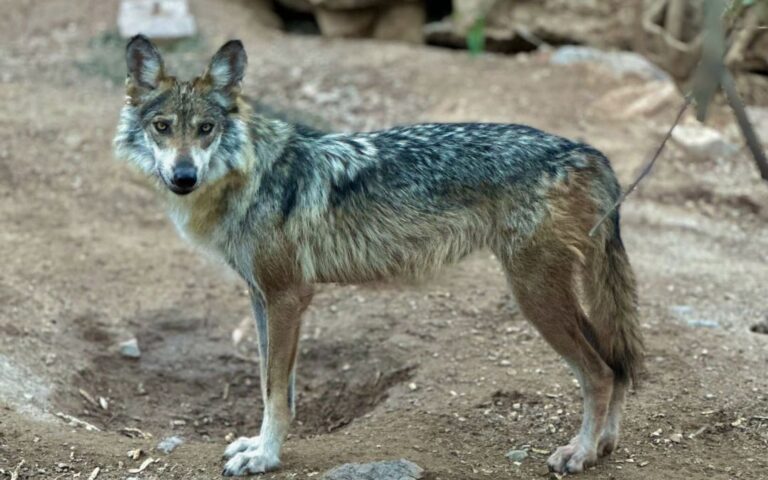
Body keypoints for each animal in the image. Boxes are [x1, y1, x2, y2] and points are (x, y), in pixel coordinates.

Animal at [113, 35, 644, 476]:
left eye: (206, 129)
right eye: (163, 127)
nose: (183, 176)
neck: (251, 176)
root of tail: (587, 152)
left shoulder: (287, 297)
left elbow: (275, 393)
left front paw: (264, 457)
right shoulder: (261, 298)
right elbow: (271, 385)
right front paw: (256, 445)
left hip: (534, 296)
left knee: (599, 372)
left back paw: (579, 452)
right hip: (554, 295)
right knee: (617, 364)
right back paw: (604, 446)